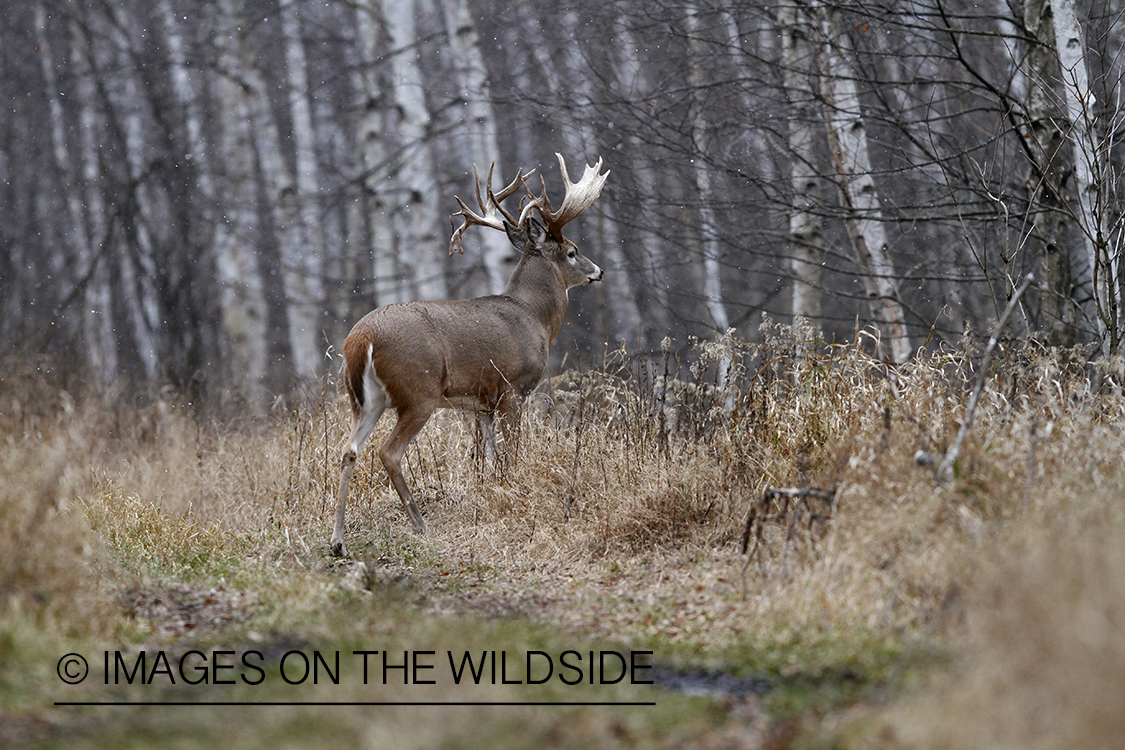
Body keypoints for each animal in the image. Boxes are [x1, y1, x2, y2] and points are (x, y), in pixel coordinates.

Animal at [328, 152, 612, 557]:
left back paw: (337, 540)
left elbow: (488, 458)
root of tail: (360, 338)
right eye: (572, 252)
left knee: (348, 450)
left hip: (365, 399)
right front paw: (516, 490)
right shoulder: (512, 388)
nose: (599, 271)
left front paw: (493, 495)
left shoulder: (482, 403)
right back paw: (419, 523)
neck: (536, 318)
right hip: (419, 392)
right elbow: (512, 452)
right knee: (388, 452)